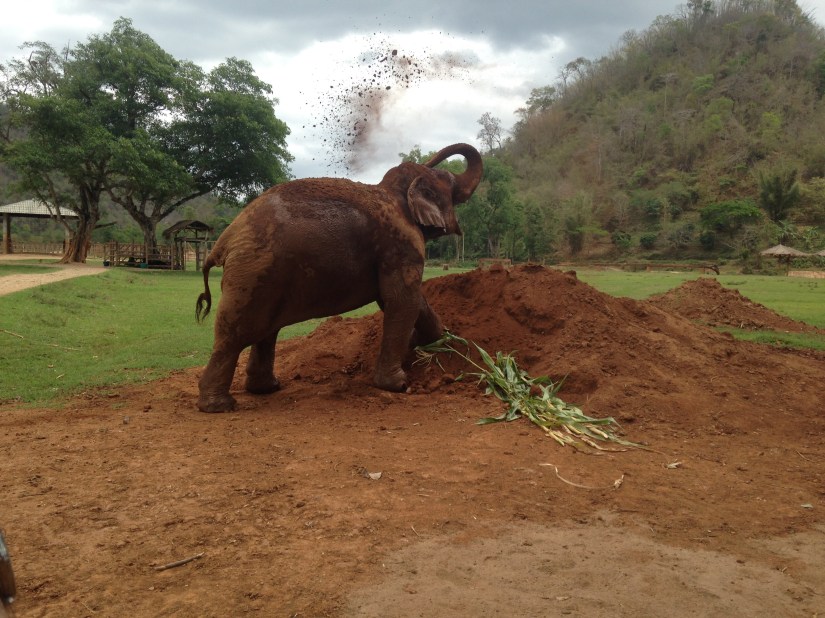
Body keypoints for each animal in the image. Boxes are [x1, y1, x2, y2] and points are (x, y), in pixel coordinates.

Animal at [195, 143, 483, 412]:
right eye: (450, 182)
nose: (430, 159)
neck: (394, 190)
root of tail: (224, 240)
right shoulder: (400, 242)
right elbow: (401, 301)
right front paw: (398, 385)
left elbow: (404, 301)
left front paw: (430, 340)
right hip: (253, 272)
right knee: (235, 334)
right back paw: (219, 406)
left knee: (265, 331)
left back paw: (266, 389)